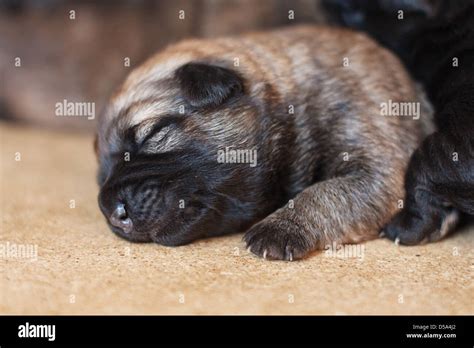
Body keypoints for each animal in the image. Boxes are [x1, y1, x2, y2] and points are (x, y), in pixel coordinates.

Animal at [95, 25, 440, 260]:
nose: (112, 213)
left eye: (152, 135)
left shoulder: (375, 167)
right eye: (101, 176)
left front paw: (281, 227)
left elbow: (324, 192)